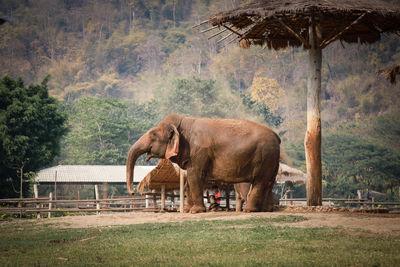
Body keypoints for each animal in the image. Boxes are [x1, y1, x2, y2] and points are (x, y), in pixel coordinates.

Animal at [126, 114, 280, 214]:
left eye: (153, 135)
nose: (133, 193)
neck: (183, 123)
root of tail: (277, 137)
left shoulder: (199, 152)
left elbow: (194, 176)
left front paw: (195, 211)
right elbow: (189, 181)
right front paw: (187, 210)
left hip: (265, 156)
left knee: (260, 181)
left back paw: (249, 210)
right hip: (272, 159)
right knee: (268, 182)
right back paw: (266, 210)